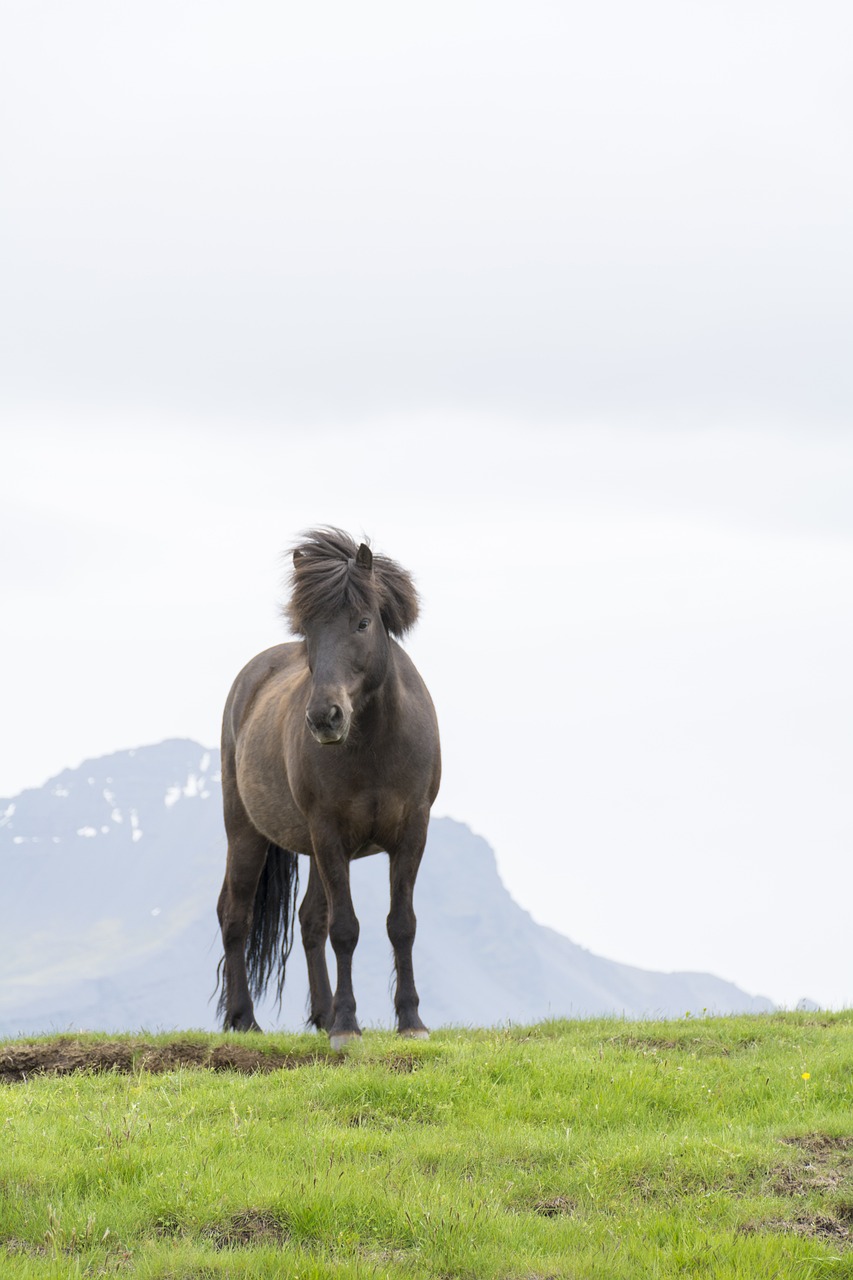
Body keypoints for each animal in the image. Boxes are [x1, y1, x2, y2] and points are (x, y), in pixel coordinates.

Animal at [213, 524, 438, 1044]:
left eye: (362, 623)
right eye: (309, 630)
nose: (323, 717)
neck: (375, 746)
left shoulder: (412, 832)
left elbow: (401, 924)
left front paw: (410, 1020)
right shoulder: (330, 834)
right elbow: (346, 929)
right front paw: (348, 1026)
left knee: (309, 920)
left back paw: (321, 1013)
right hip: (246, 832)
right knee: (235, 914)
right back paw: (244, 1019)